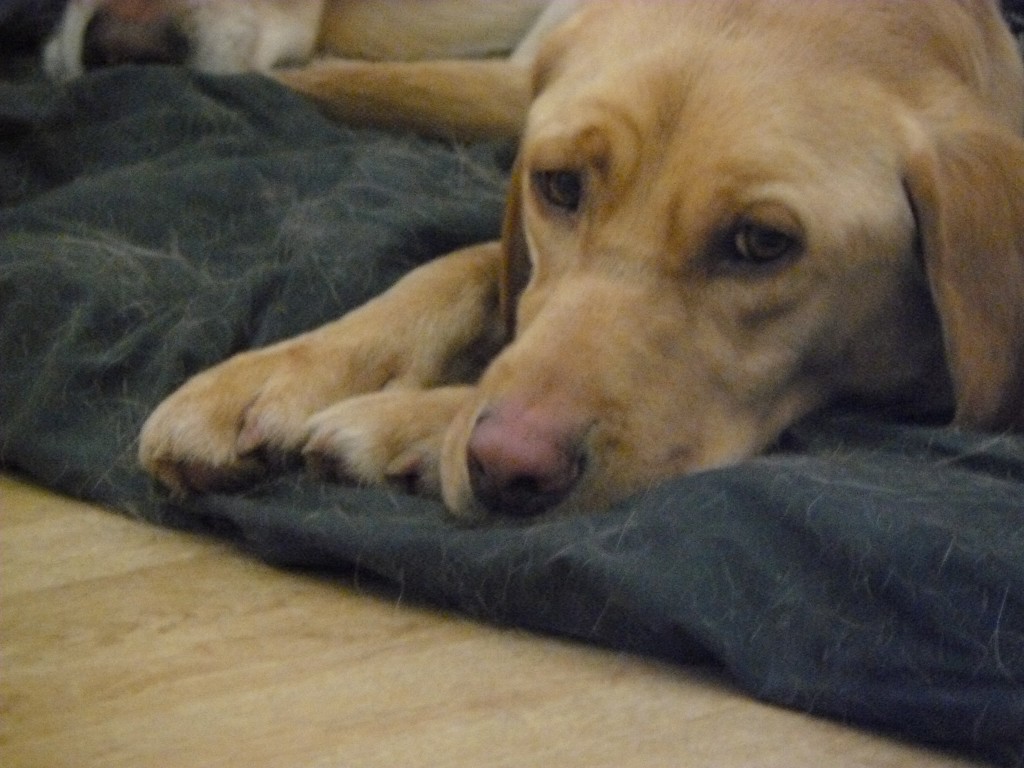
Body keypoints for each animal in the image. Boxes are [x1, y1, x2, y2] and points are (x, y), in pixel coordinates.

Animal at [49, 0, 1024, 520]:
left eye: (763, 243)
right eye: (558, 186)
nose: (507, 464)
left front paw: (410, 424)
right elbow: (469, 262)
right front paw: (278, 372)